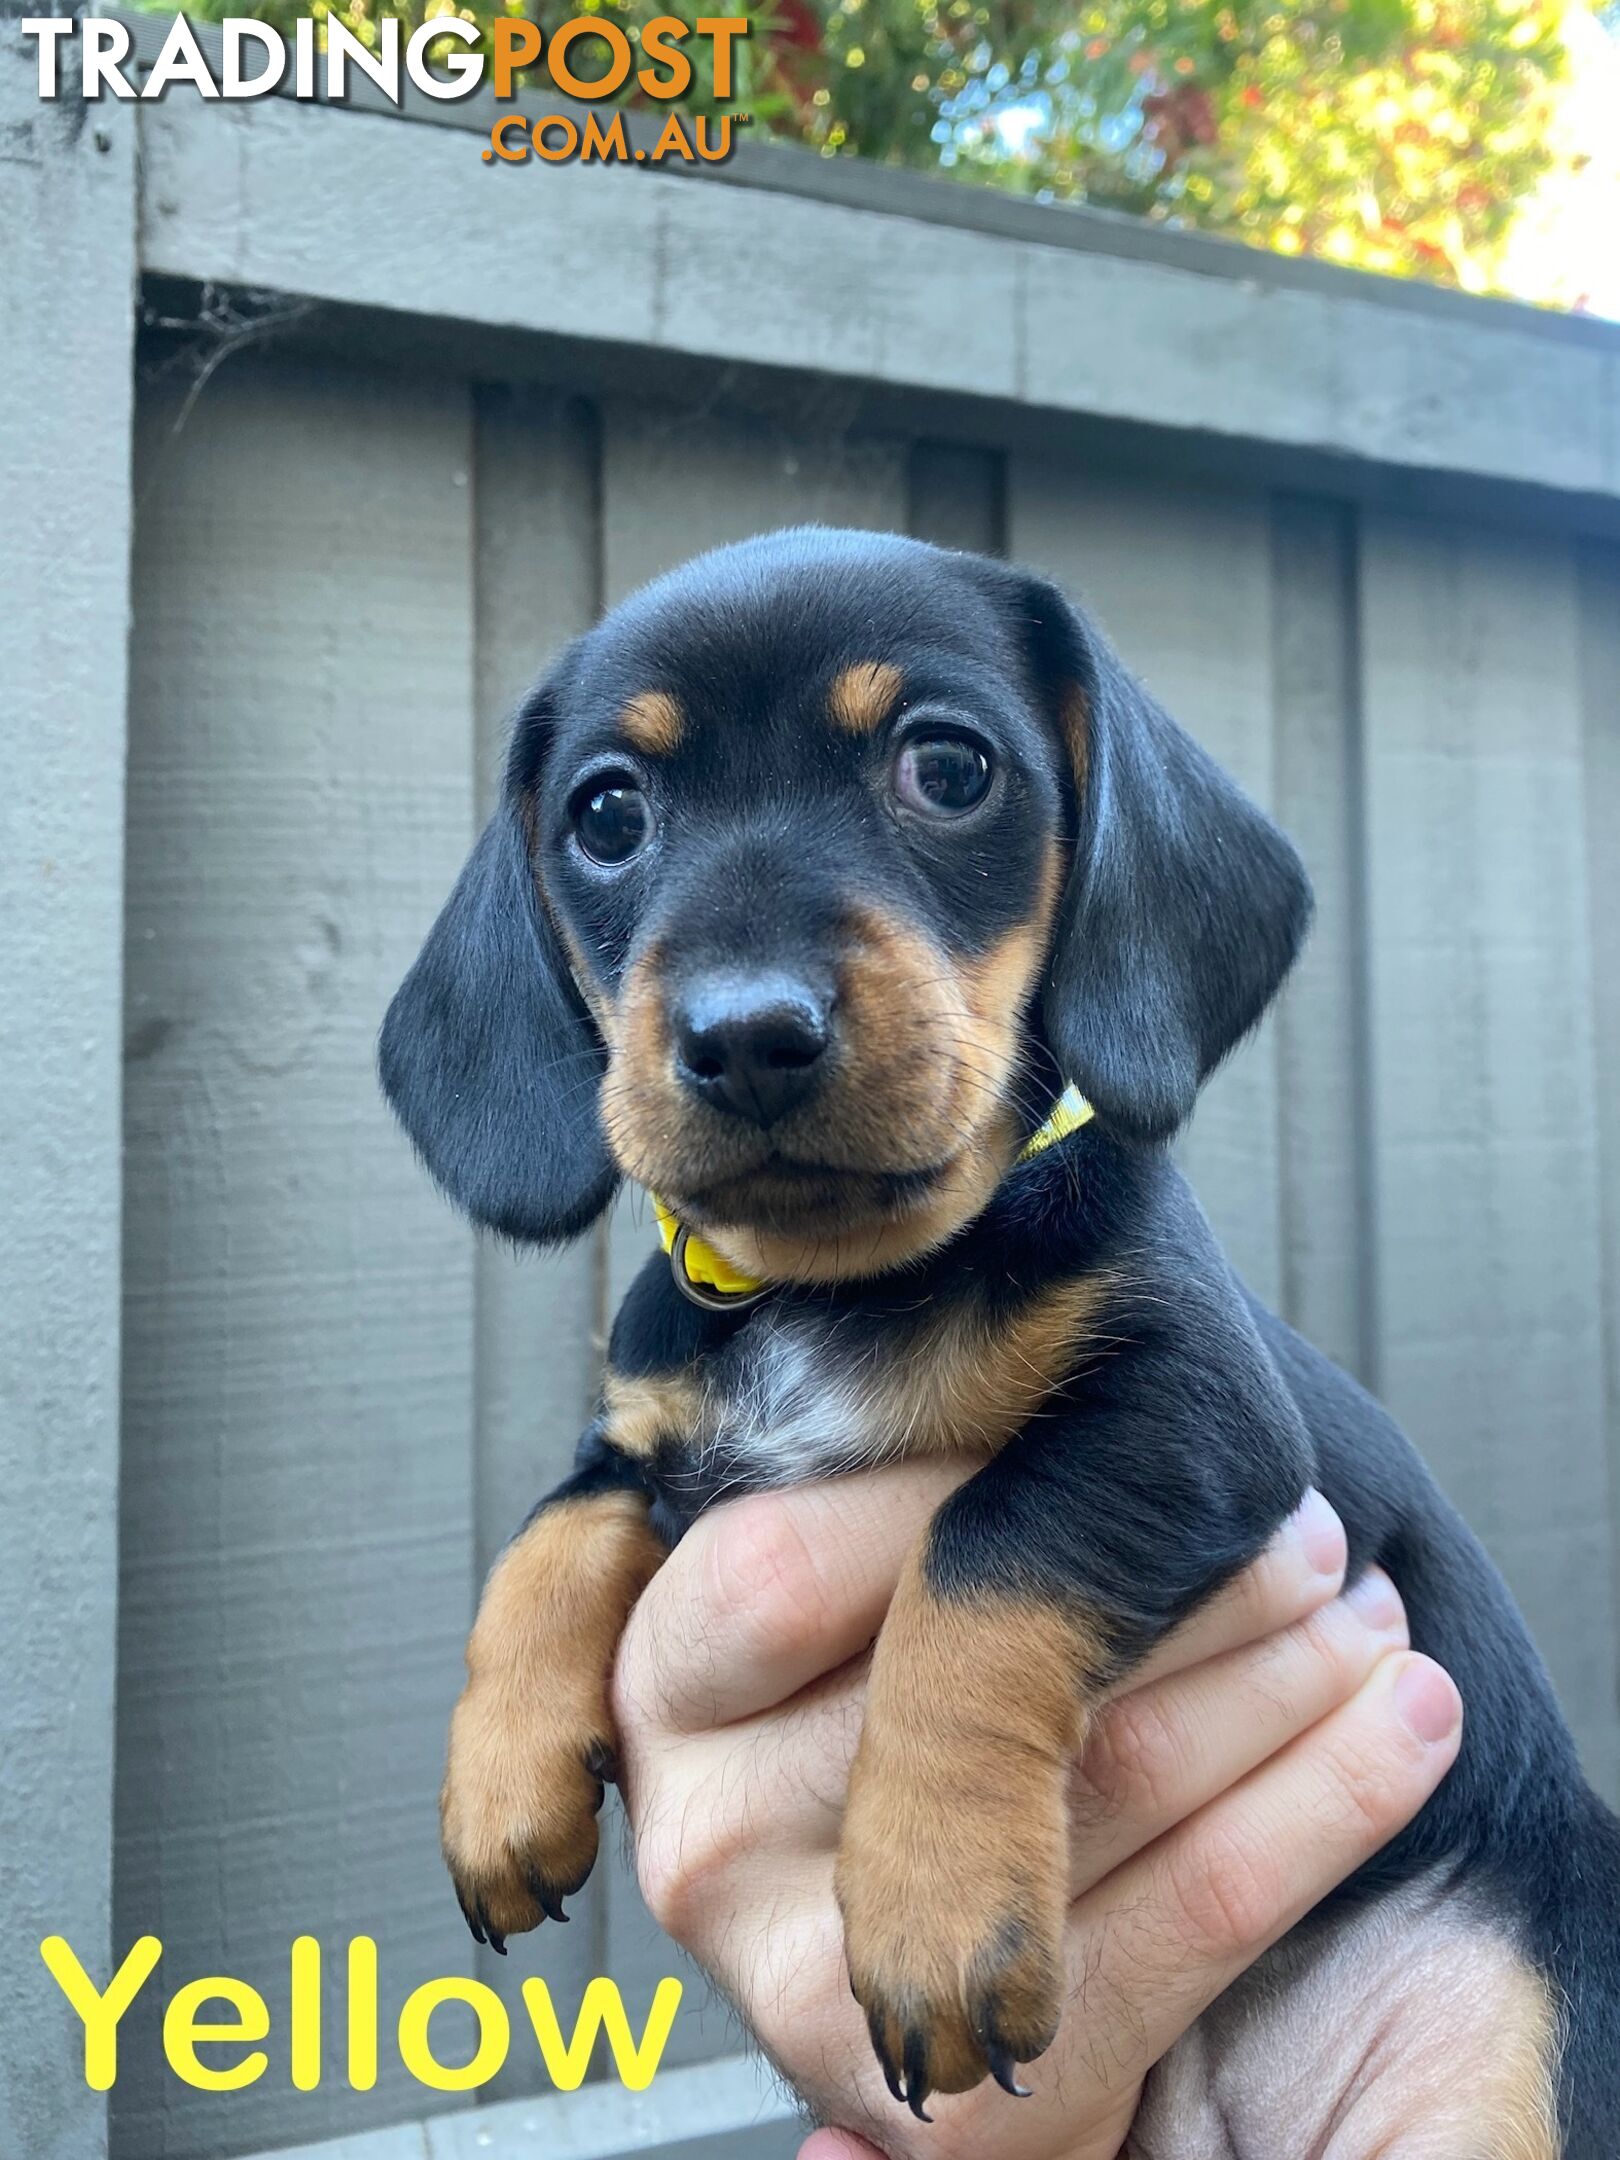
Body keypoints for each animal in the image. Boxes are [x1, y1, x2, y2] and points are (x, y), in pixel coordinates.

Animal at [384, 531, 1620, 2151]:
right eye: (605, 814)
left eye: (949, 767)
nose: (746, 1033)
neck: (844, 1282)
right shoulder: (651, 1438)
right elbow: (546, 1536)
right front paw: (497, 1779)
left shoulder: (1193, 1417)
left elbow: (980, 1558)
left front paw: (935, 1905)